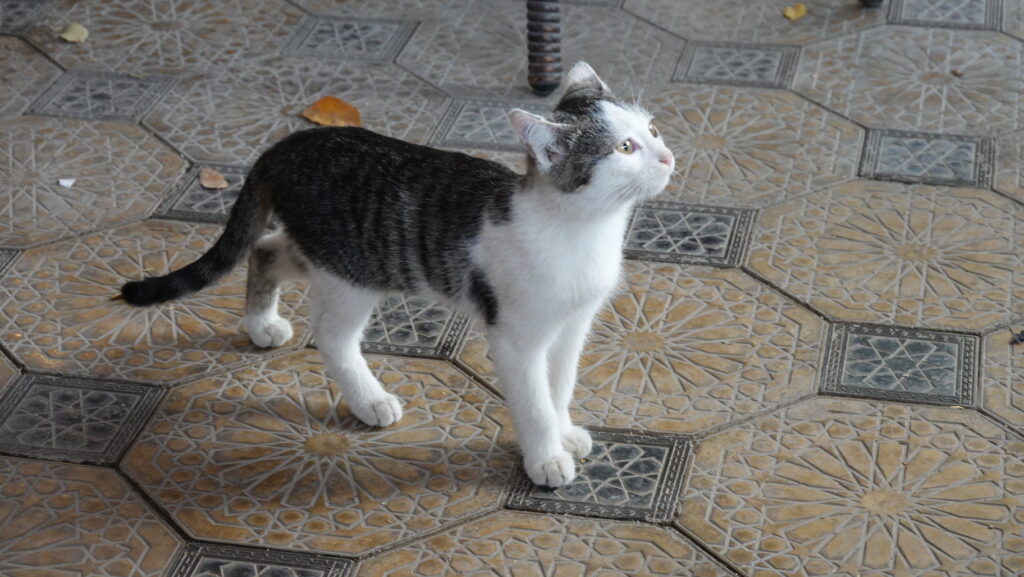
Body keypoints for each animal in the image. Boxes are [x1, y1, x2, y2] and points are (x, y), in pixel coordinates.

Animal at [120, 62, 674, 487]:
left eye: (652, 130)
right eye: (624, 149)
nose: (668, 156)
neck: (580, 229)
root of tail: (287, 145)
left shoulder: (571, 326)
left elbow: (558, 386)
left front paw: (564, 431)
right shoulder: (516, 336)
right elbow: (533, 400)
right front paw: (545, 457)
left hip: (326, 253)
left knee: (264, 249)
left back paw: (261, 325)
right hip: (351, 273)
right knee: (331, 334)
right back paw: (369, 398)